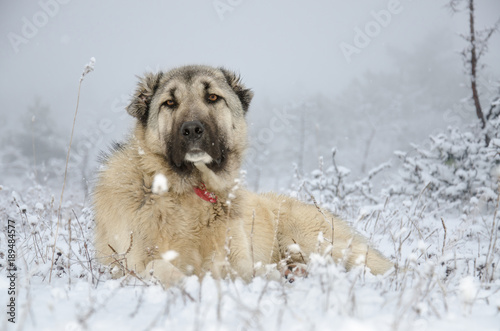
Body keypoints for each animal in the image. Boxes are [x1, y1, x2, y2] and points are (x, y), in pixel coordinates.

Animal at [92, 65, 392, 288]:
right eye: (169, 103)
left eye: (213, 98)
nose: (192, 129)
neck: (188, 192)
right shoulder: (126, 266)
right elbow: (157, 266)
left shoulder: (238, 264)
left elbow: (237, 273)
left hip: (311, 241)